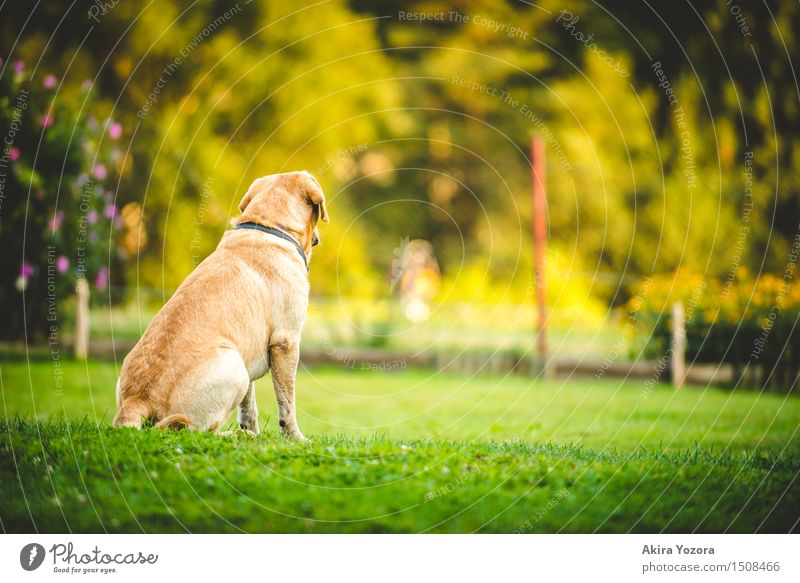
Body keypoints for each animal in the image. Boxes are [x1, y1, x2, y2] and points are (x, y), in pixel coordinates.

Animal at [111, 171, 326, 440]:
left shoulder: (248, 346)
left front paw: (253, 430)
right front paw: (296, 438)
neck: (270, 227)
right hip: (234, 368)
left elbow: (248, 407)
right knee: (197, 430)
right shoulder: (285, 342)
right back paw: (235, 435)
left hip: (238, 363)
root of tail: (136, 400)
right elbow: (287, 403)